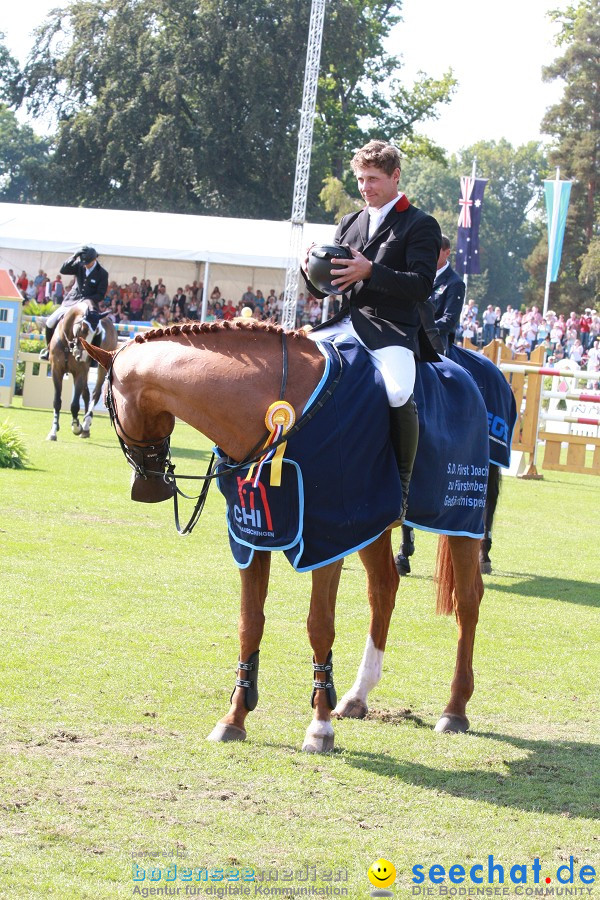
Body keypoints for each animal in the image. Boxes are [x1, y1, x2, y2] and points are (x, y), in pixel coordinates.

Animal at [46, 300, 118, 442]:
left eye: (96, 333)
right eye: (83, 329)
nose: (83, 357)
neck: (68, 343)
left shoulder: (80, 373)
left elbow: (74, 405)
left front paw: (76, 427)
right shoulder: (56, 370)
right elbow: (57, 401)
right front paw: (53, 431)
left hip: (101, 369)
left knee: (95, 394)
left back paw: (85, 425)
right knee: (86, 394)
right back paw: (86, 428)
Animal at [81, 320, 482, 756]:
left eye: (106, 405)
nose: (147, 488)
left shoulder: (327, 539)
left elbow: (320, 626)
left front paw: (319, 728)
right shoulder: (252, 536)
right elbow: (249, 623)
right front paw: (234, 718)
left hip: (463, 519)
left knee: (467, 602)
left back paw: (455, 709)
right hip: (373, 526)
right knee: (383, 589)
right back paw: (357, 696)